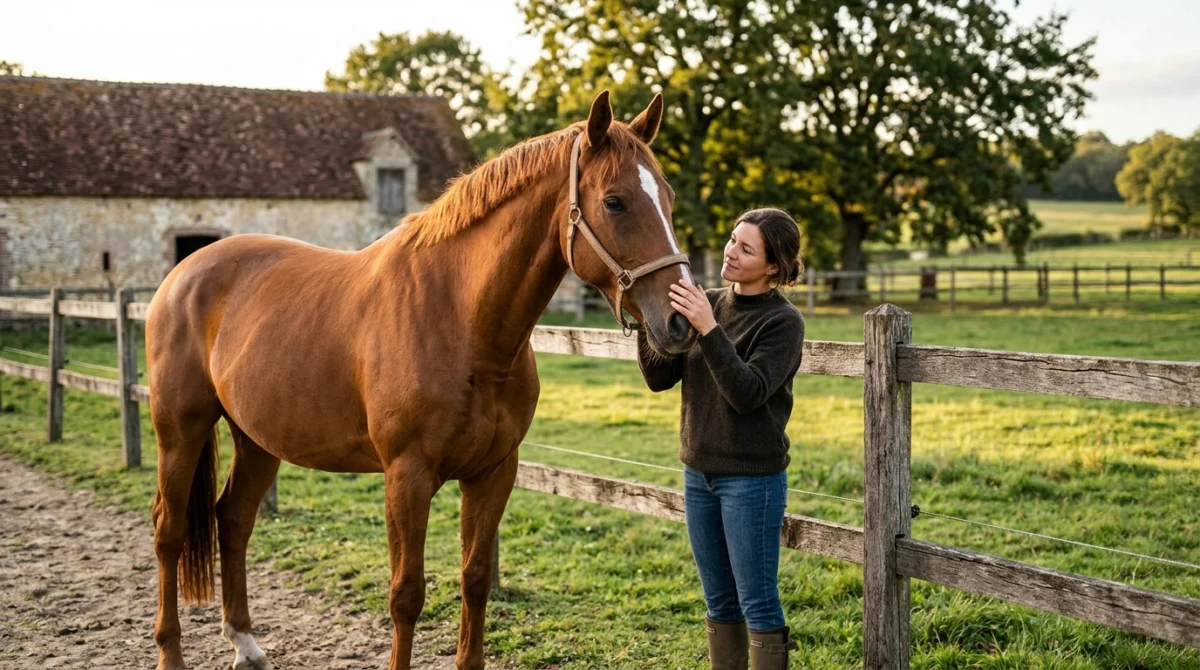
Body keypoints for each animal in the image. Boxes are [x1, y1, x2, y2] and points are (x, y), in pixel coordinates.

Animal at [145, 90, 697, 670]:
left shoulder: (494, 473)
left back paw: (246, 644)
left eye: (668, 198)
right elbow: (406, 594)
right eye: (615, 202)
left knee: (233, 520)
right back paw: (171, 651)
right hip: (179, 431)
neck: (460, 319)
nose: (680, 320)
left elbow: (474, 579)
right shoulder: (406, 477)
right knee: (169, 532)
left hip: (256, 439)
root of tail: (182, 274)